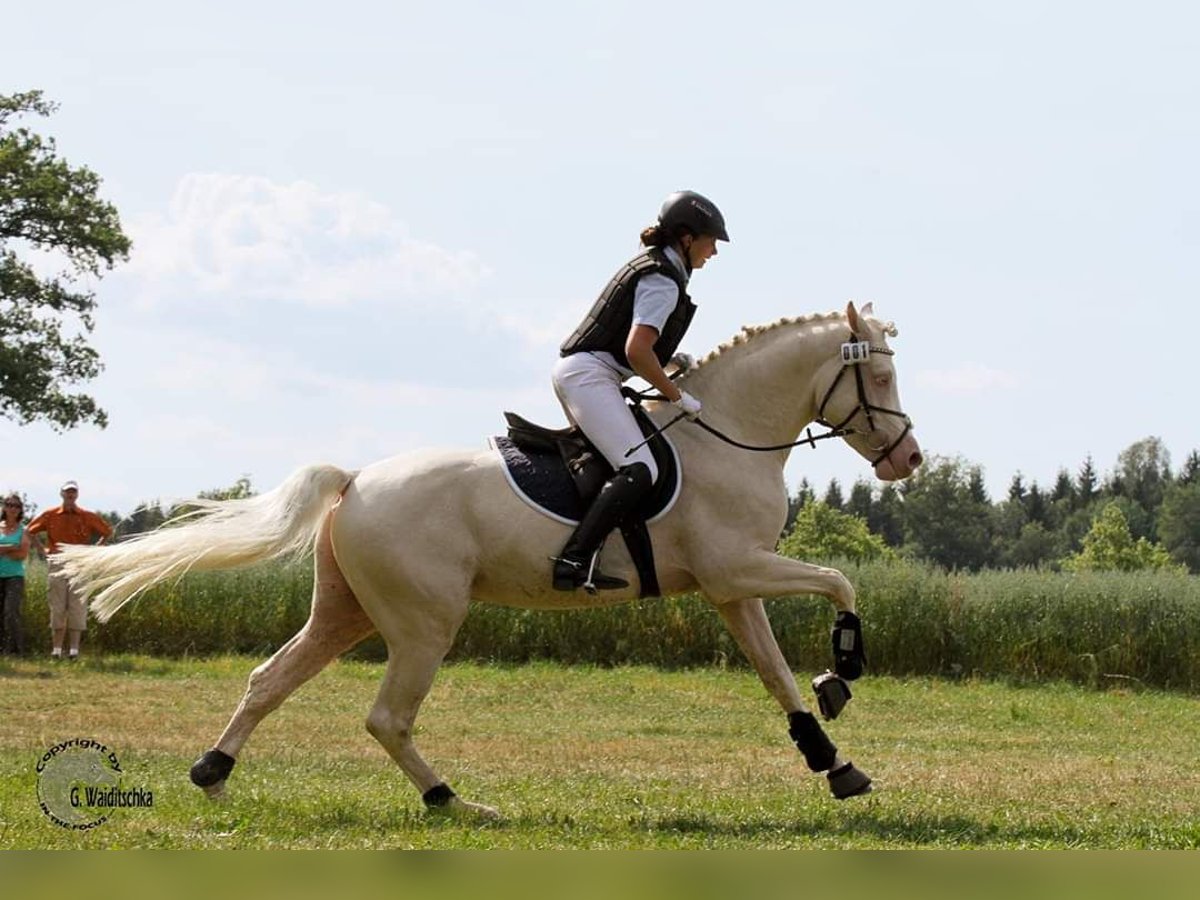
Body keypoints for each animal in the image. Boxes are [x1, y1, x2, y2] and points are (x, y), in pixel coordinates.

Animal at [56, 303, 921, 825]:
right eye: (878, 375)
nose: (908, 459)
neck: (730, 436)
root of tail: (355, 480)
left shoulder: (731, 586)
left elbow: (776, 675)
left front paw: (834, 761)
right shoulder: (738, 570)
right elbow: (839, 582)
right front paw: (843, 669)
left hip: (346, 611)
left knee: (270, 679)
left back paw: (212, 771)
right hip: (423, 621)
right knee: (386, 716)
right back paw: (454, 802)